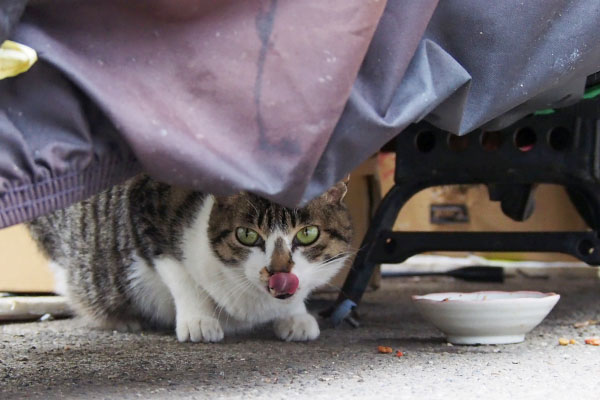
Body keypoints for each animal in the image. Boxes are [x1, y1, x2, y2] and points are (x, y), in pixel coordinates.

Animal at [28, 177, 354, 342]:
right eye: (247, 235)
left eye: (308, 233)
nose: (278, 271)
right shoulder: (146, 206)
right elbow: (179, 272)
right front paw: (199, 320)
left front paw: (295, 316)